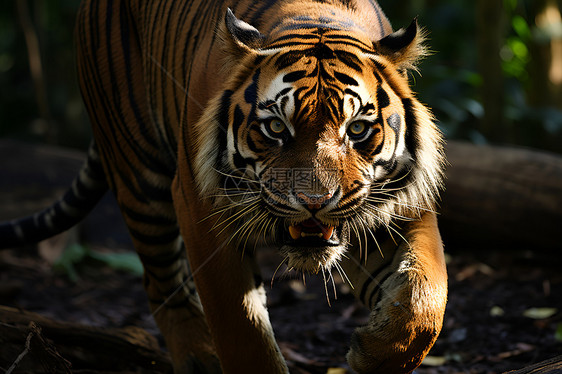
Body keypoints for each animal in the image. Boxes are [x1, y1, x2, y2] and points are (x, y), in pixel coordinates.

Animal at [0, 0, 446, 372]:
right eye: (275, 128)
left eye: (356, 129)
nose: (314, 202)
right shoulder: (201, 208)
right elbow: (242, 330)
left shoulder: (399, 203)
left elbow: (426, 298)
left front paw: (373, 353)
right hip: (139, 176)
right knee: (161, 283)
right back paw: (199, 360)